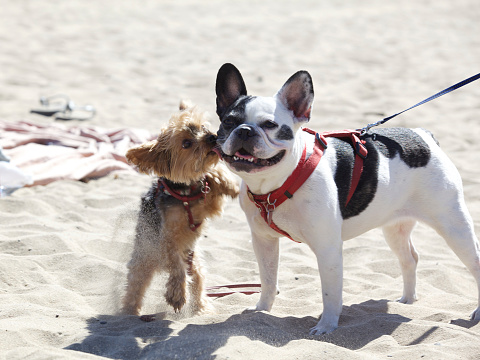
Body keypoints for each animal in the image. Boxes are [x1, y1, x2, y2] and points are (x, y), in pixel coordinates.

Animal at [122, 100, 238, 318]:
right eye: (186, 144)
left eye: (203, 127)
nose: (212, 137)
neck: (185, 193)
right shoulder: (168, 238)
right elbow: (177, 265)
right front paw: (176, 295)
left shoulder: (208, 205)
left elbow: (211, 174)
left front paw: (229, 184)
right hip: (144, 260)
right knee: (135, 287)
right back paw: (128, 312)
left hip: (195, 264)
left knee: (198, 282)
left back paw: (201, 309)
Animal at [214, 62, 480, 334]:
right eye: (229, 121)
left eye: (270, 124)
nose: (244, 131)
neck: (276, 183)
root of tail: (424, 137)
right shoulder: (263, 242)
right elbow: (268, 278)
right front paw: (262, 310)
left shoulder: (328, 249)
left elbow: (330, 292)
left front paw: (326, 327)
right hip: (394, 228)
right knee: (409, 258)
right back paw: (407, 299)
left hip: (454, 226)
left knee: (473, 263)